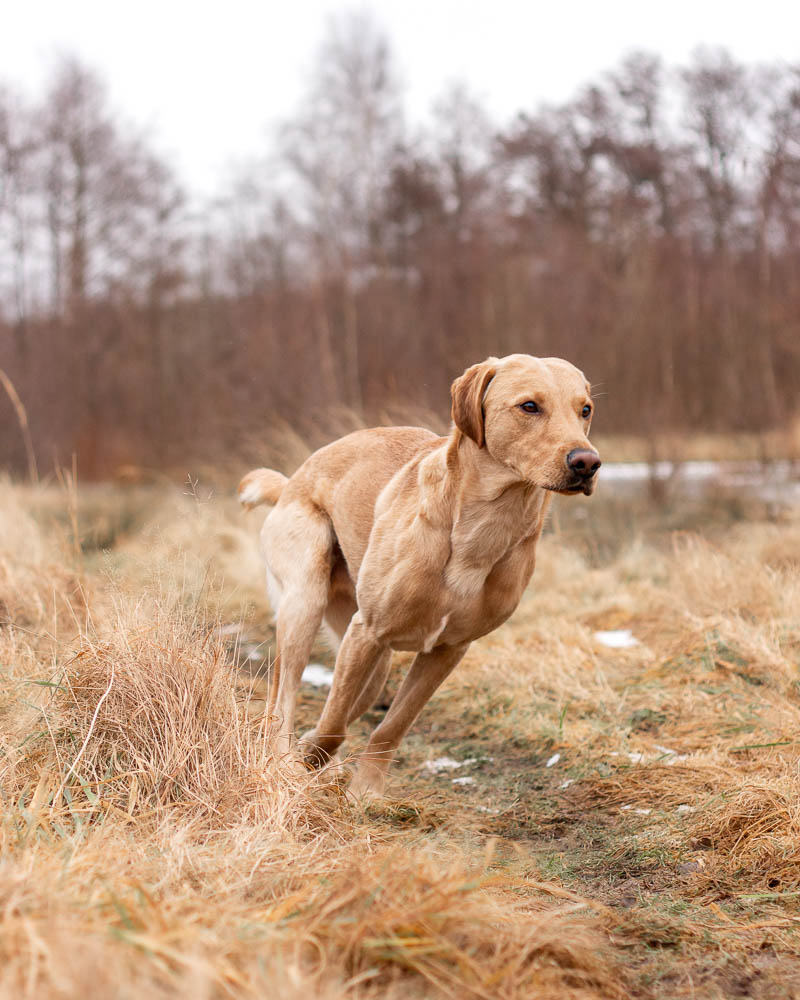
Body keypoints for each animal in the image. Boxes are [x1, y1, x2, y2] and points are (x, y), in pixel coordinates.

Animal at [238, 352, 600, 796]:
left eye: (585, 409)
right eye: (530, 406)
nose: (587, 462)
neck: (483, 529)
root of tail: (293, 480)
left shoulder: (446, 650)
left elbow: (391, 726)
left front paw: (365, 792)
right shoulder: (369, 631)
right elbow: (333, 725)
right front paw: (308, 761)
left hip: (370, 657)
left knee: (334, 700)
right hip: (307, 604)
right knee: (285, 694)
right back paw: (284, 759)